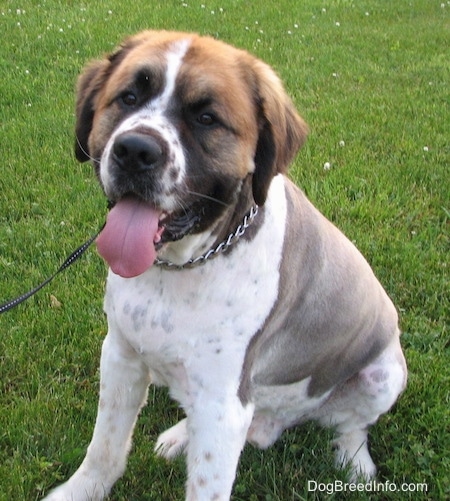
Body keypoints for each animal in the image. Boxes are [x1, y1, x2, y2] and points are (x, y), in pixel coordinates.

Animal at [43, 31, 408, 500]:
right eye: (128, 97)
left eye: (206, 118)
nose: (135, 150)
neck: (186, 264)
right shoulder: (121, 355)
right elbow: (103, 446)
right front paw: (80, 490)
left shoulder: (223, 402)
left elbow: (207, 485)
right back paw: (182, 435)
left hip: (383, 372)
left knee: (353, 427)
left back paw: (355, 463)